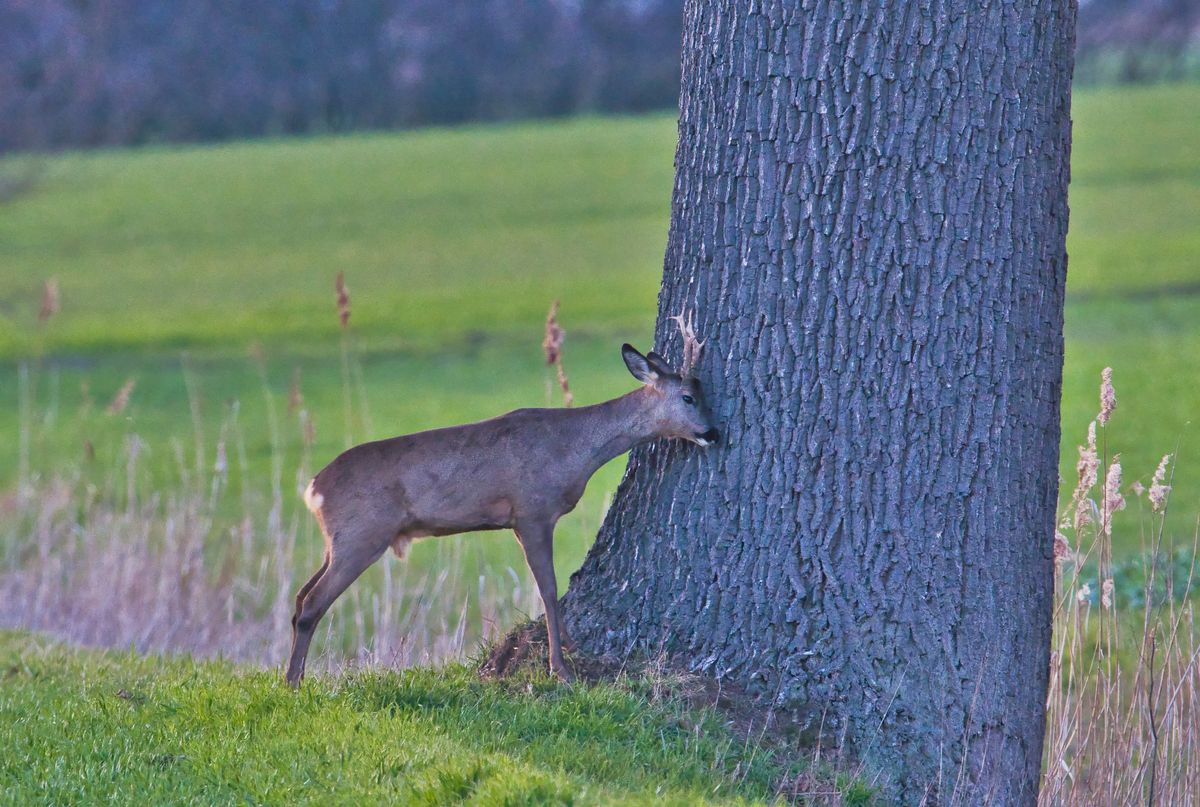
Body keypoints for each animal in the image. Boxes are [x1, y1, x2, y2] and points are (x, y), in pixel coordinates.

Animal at [285, 314, 715, 686]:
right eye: (688, 398)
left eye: (703, 394)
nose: (714, 432)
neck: (574, 449)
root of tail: (313, 488)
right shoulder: (533, 510)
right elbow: (548, 589)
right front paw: (560, 669)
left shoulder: (520, 521)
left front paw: (570, 649)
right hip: (362, 534)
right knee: (313, 602)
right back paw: (292, 681)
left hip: (338, 540)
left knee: (301, 595)